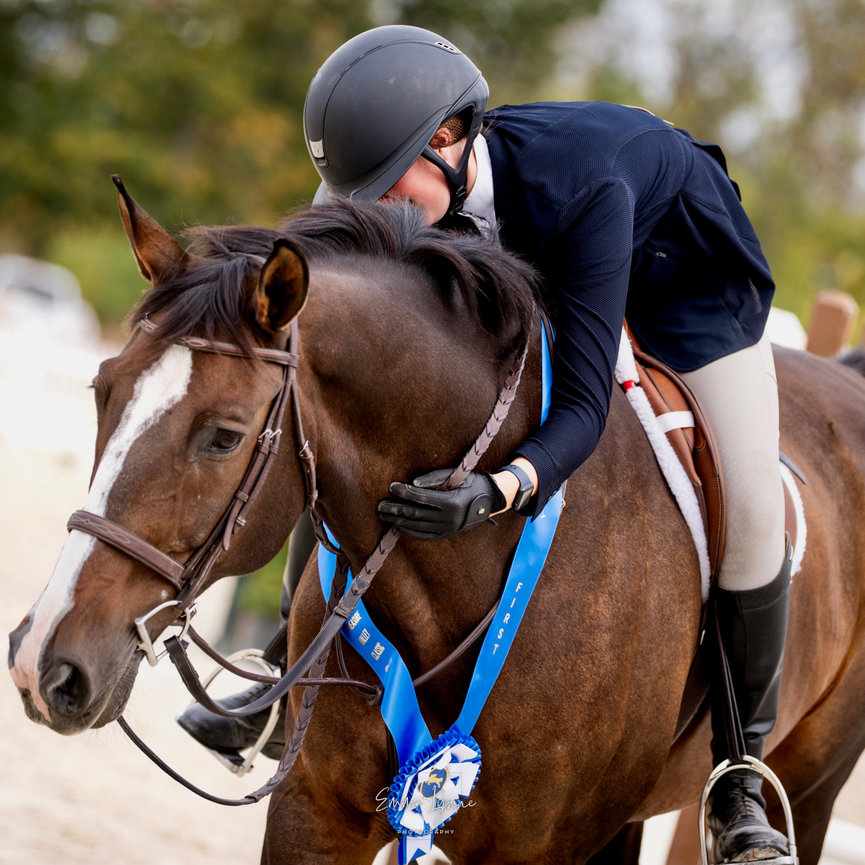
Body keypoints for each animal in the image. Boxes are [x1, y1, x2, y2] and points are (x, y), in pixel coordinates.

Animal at [8, 180, 865, 865]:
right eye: (102, 389)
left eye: (222, 435)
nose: (44, 665)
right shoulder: (318, 811)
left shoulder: (539, 847)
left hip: (810, 777)